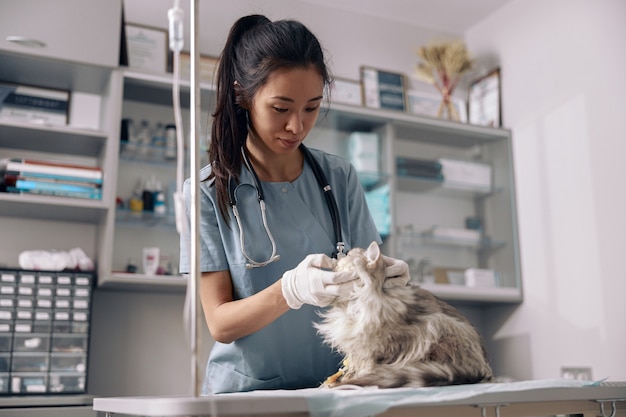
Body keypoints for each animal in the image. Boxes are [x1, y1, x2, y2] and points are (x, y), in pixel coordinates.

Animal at [316, 240, 492, 386]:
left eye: (349, 255)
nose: (337, 256)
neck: (353, 304)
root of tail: (482, 370)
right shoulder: (357, 342)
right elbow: (355, 361)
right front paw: (341, 378)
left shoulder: (382, 342)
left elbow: (368, 363)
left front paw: (357, 377)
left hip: (443, 327)